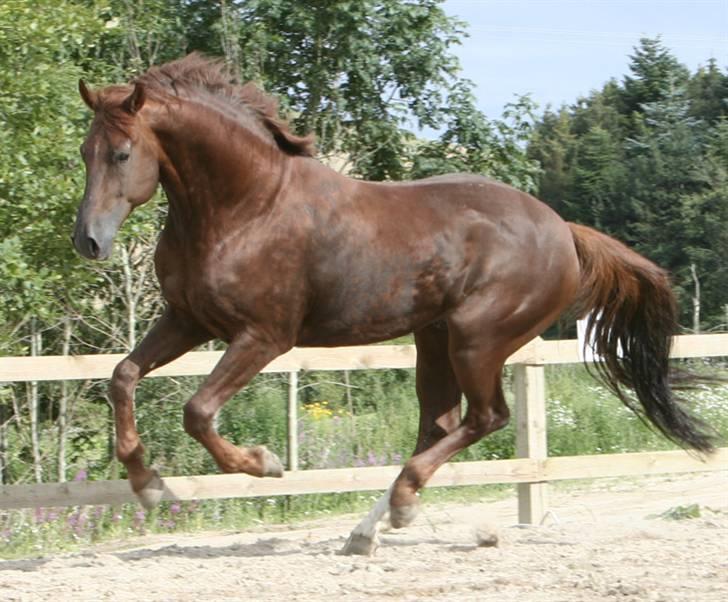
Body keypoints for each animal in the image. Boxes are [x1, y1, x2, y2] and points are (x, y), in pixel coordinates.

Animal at [72, 56, 712, 552]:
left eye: (122, 154)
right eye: (84, 152)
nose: (89, 241)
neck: (245, 207)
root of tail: (562, 230)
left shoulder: (263, 336)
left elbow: (197, 411)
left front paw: (263, 463)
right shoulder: (187, 319)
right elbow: (123, 376)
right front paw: (147, 483)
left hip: (477, 338)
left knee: (485, 418)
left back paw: (400, 505)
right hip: (434, 337)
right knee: (441, 424)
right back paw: (368, 531)